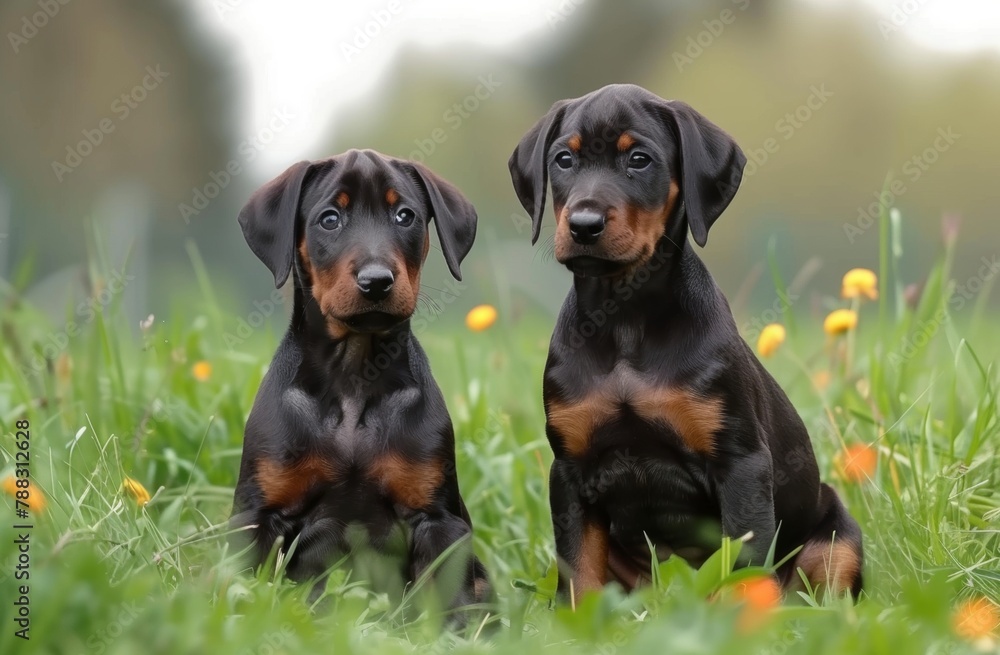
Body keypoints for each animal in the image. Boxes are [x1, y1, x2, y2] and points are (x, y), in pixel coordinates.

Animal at [228, 151, 492, 616]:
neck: (354, 375)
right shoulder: (258, 515)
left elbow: (450, 605)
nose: (377, 281)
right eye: (330, 219)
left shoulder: (438, 520)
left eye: (404, 215)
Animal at [512, 86, 864, 604]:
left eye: (639, 159)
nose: (584, 224)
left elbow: (743, 566)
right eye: (563, 159)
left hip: (838, 531)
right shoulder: (571, 471)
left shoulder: (741, 465)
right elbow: (578, 572)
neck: (626, 319)